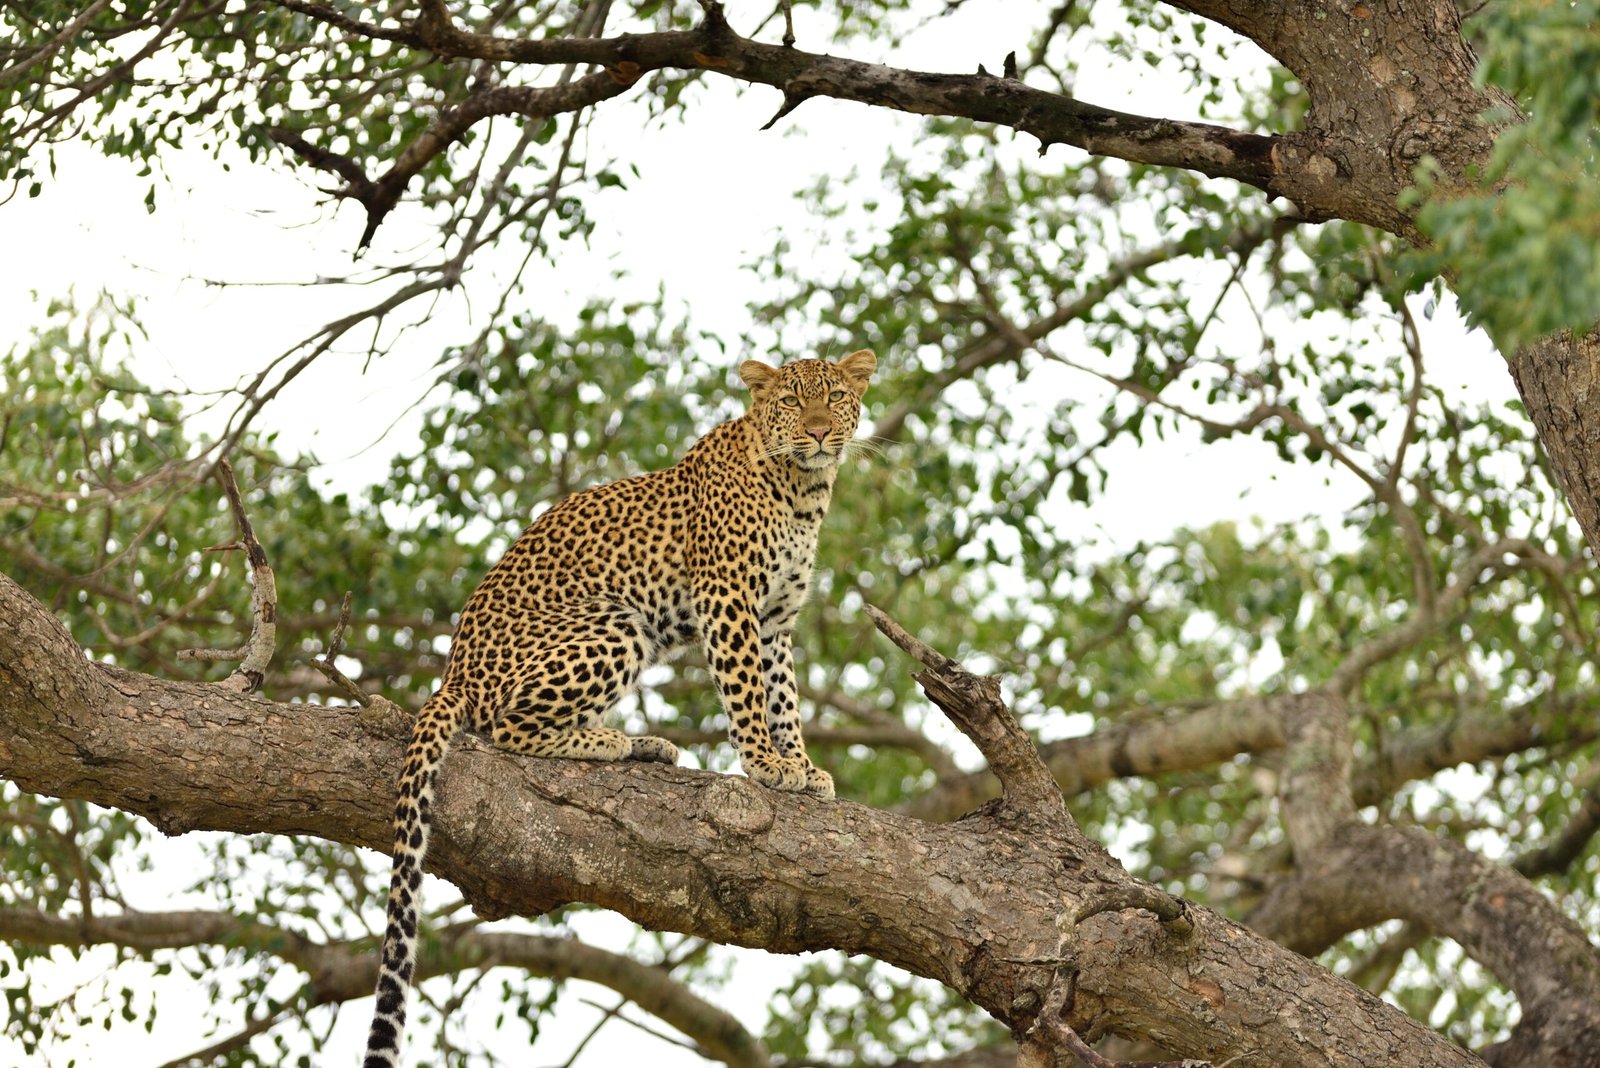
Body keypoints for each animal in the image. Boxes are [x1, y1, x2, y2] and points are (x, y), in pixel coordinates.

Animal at [363, 346, 883, 1061]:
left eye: (833, 398)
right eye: (791, 402)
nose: (818, 432)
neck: (803, 491)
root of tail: (452, 675)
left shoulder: (776, 619)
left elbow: (783, 697)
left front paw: (801, 767)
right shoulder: (728, 599)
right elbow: (748, 691)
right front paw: (766, 765)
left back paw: (647, 746)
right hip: (617, 622)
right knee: (508, 727)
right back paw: (614, 742)